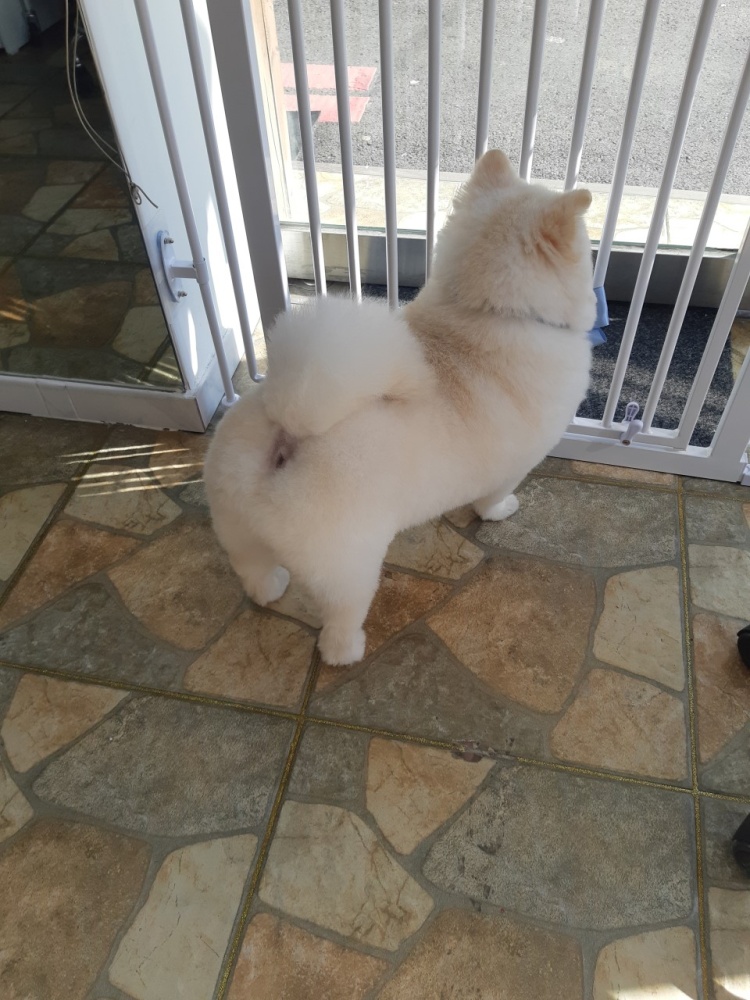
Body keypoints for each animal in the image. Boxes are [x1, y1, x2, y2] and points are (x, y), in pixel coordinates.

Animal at [204, 149, 596, 666]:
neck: (482, 312)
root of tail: (289, 432)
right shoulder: (515, 463)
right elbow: (493, 498)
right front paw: (502, 511)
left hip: (235, 525)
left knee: (253, 571)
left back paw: (271, 588)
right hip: (349, 566)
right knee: (338, 622)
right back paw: (349, 651)